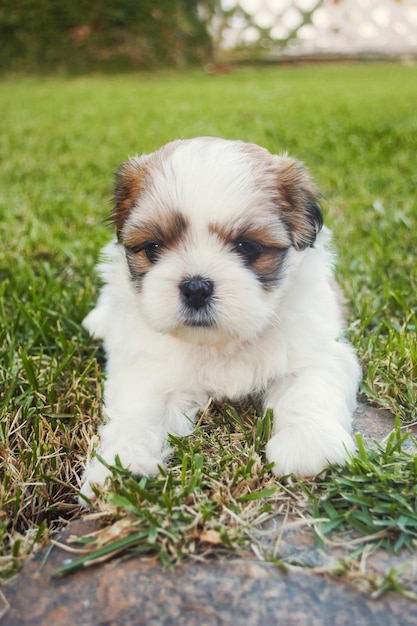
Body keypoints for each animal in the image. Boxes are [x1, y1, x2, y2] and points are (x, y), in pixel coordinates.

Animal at [79, 136, 360, 498]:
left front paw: (307, 443)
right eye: (153, 247)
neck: (220, 341)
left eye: (248, 248)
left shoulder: (317, 350)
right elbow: (139, 412)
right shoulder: (148, 371)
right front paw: (121, 465)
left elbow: (308, 389)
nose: (196, 287)